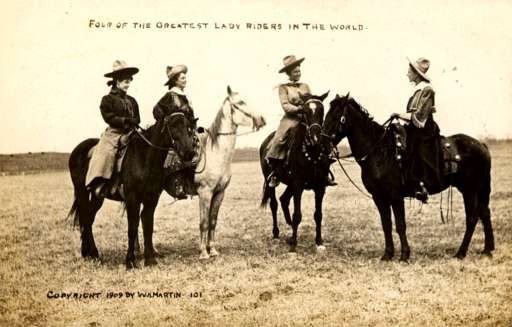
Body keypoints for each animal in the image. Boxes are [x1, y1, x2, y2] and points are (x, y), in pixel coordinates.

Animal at [68, 111, 196, 270]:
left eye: (188, 126)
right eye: (172, 126)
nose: (189, 152)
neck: (144, 157)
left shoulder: (151, 200)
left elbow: (148, 226)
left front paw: (150, 260)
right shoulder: (132, 199)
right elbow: (132, 228)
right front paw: (130, 261)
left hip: (97, 197)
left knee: (88, 220)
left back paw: (91, 254)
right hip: (82, 193)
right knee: (85, 219)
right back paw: (90, 253)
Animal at [191, 86, 264, 260]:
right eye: (241, 102)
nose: (261, 119)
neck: (215, 153)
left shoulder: (219, 193)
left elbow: (212, 221)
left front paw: (212, 250)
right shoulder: (205, 193)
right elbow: (203, 222)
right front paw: (203, 253)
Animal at [260, 92, 332, 254]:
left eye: (322, 110)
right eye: (305, 111)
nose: (315, 137)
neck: (312, 153)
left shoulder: (320, 187)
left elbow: (318, 215)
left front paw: (319, 242)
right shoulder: (298, 185)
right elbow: (297, 214)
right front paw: (293, 244)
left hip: (290, 185)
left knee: (284, 199)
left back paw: (288, 226)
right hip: (271, 181)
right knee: (274, 204)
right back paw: (276, 233)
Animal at [322, 93, 494, 262]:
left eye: (336, 116)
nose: (322, 142)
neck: (379, 151)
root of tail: (482, 145)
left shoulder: (396, 196)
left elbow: (400, 225)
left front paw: (404, 255)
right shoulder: (379, 197)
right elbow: (386, 225)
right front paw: (387, 254)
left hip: (470, 190)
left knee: (472, 218)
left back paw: (461, 253)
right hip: (477, 190)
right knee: (484, 213)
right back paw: (487, 250)